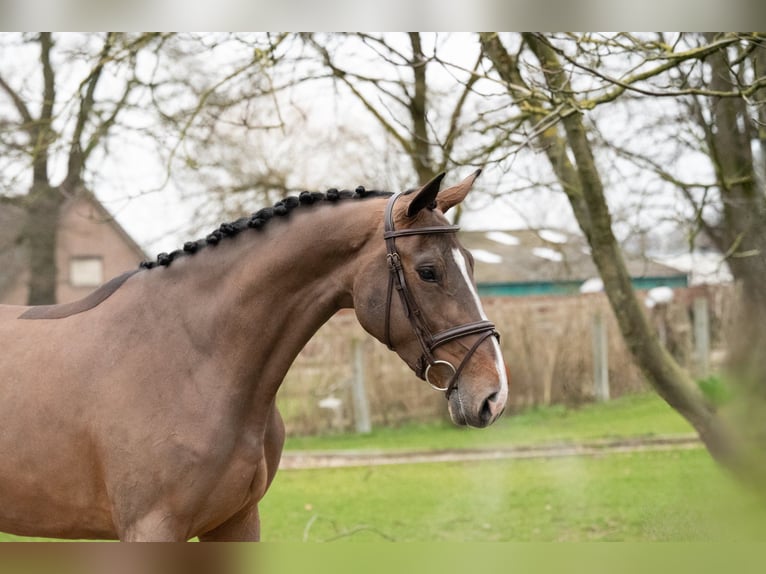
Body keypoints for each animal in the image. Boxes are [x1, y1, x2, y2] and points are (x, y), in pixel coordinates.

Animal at [0, 171, 510, 544]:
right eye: (428, 271)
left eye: (470, 262)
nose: (494, 396)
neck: (193, 358)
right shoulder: (150, 530)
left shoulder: (237, 522)